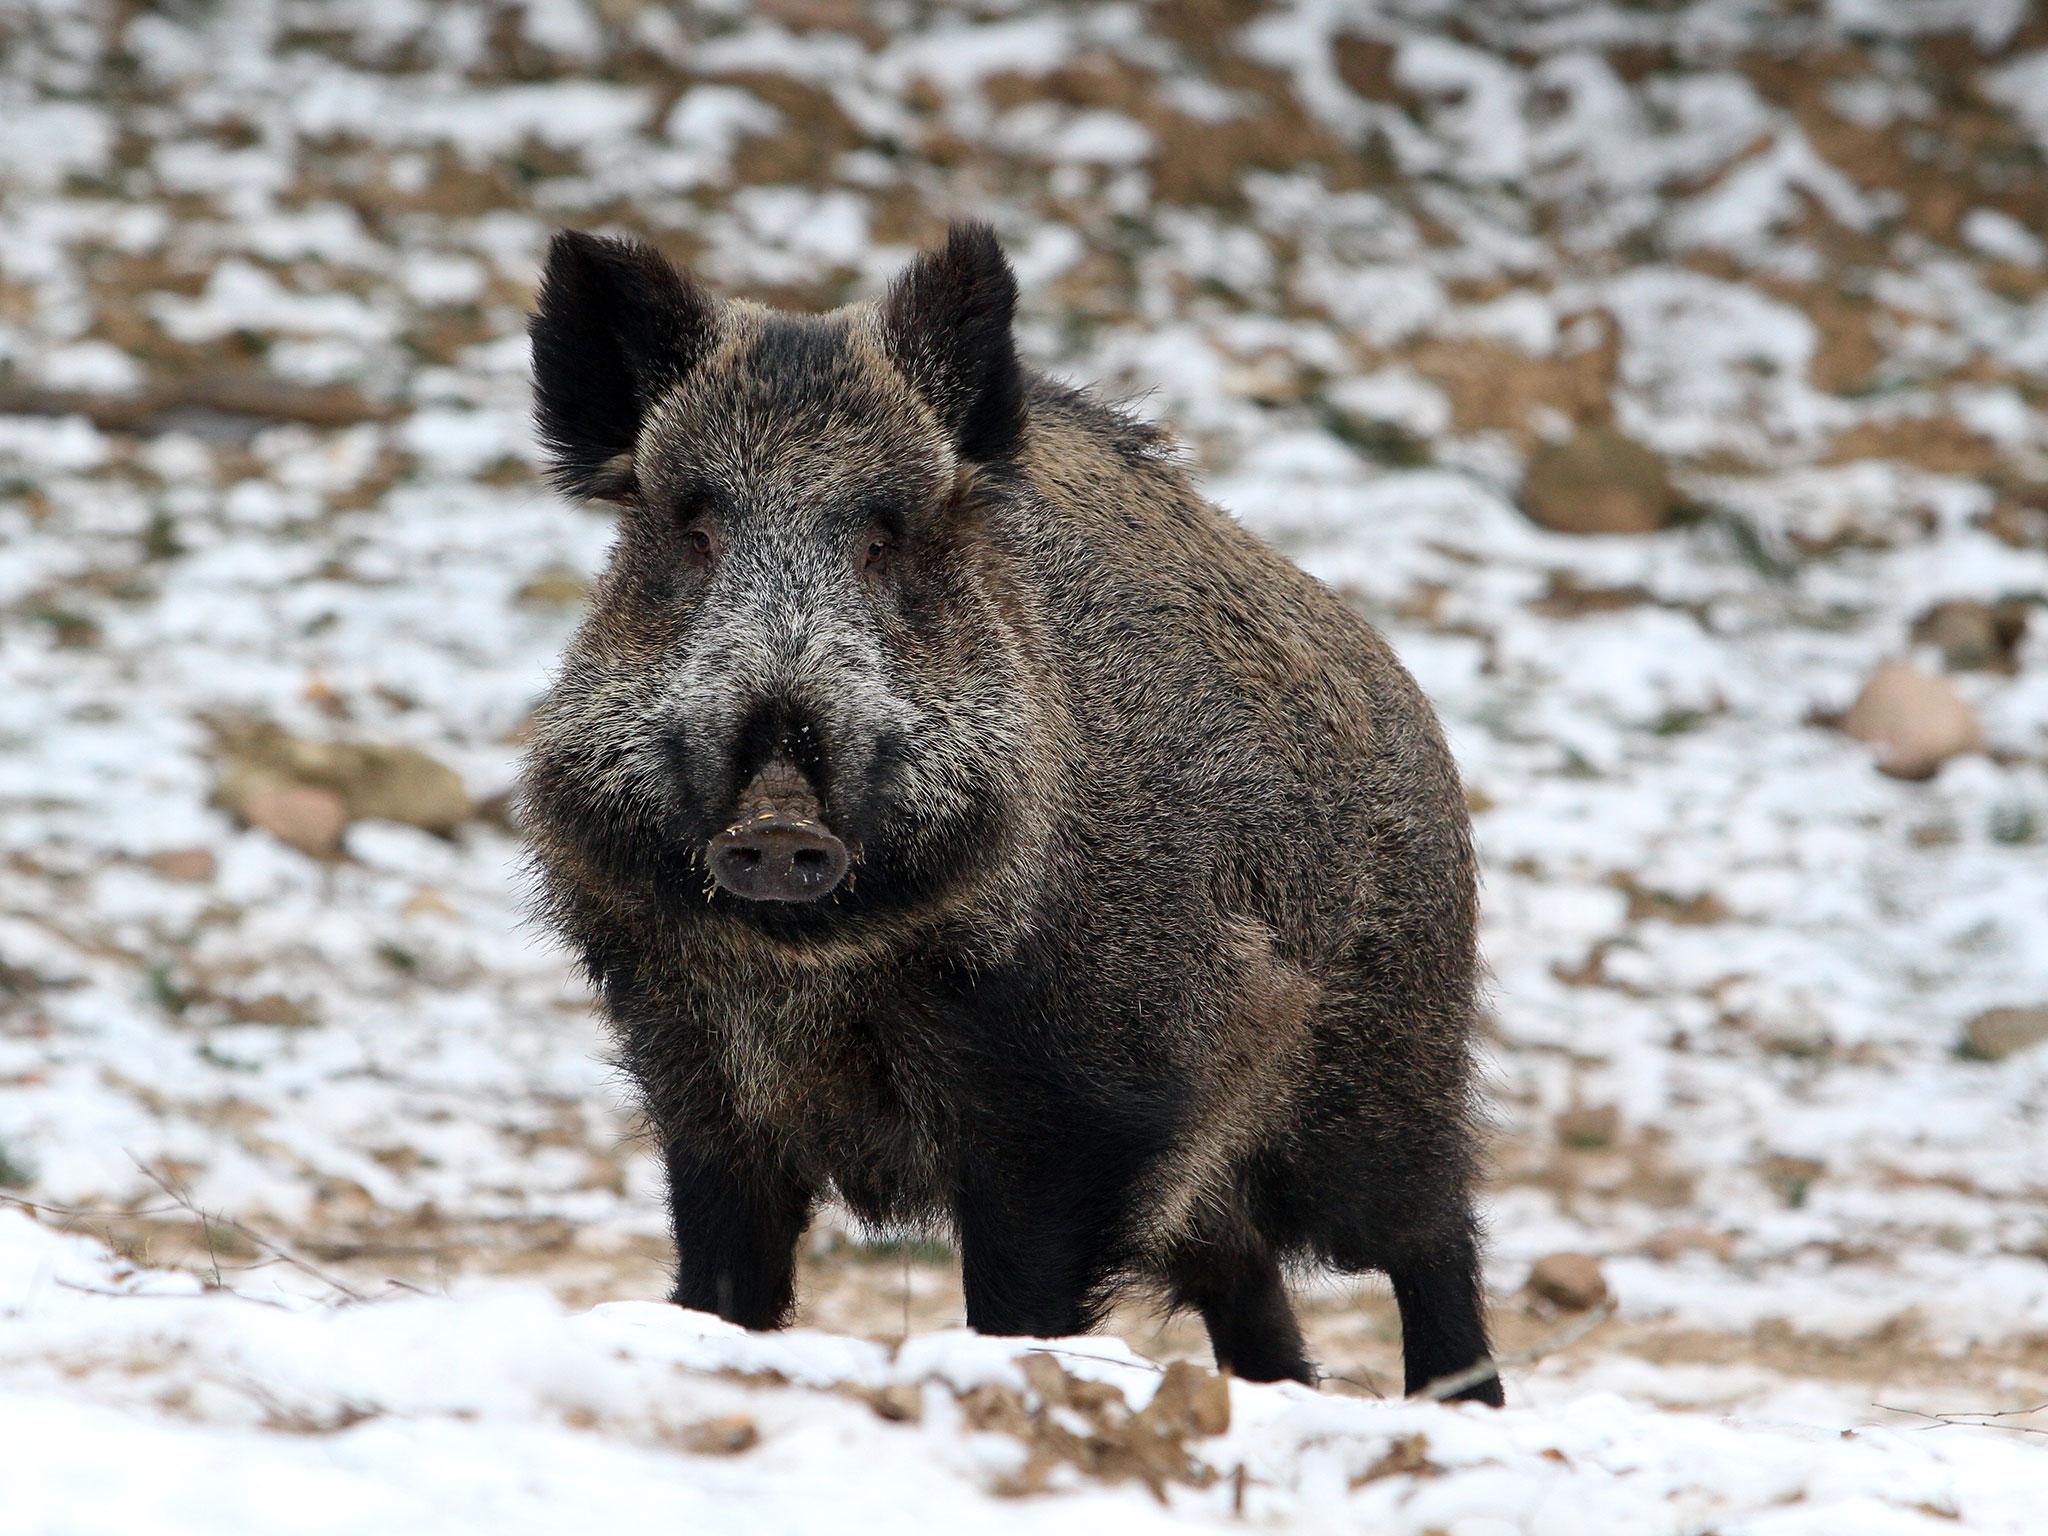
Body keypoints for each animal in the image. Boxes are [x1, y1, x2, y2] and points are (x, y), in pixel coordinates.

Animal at [519, 222, 1502, 1403]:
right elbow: (723, 1281)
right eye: (692, 530)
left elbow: (1019, 1299)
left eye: (886, 538)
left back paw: (1467, 1407)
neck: (816, 970)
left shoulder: (1081, 1097)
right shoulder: (696, 1076)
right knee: (1253, 1293)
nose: (777, 828)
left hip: (1381, 1067)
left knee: (1433, 1236)